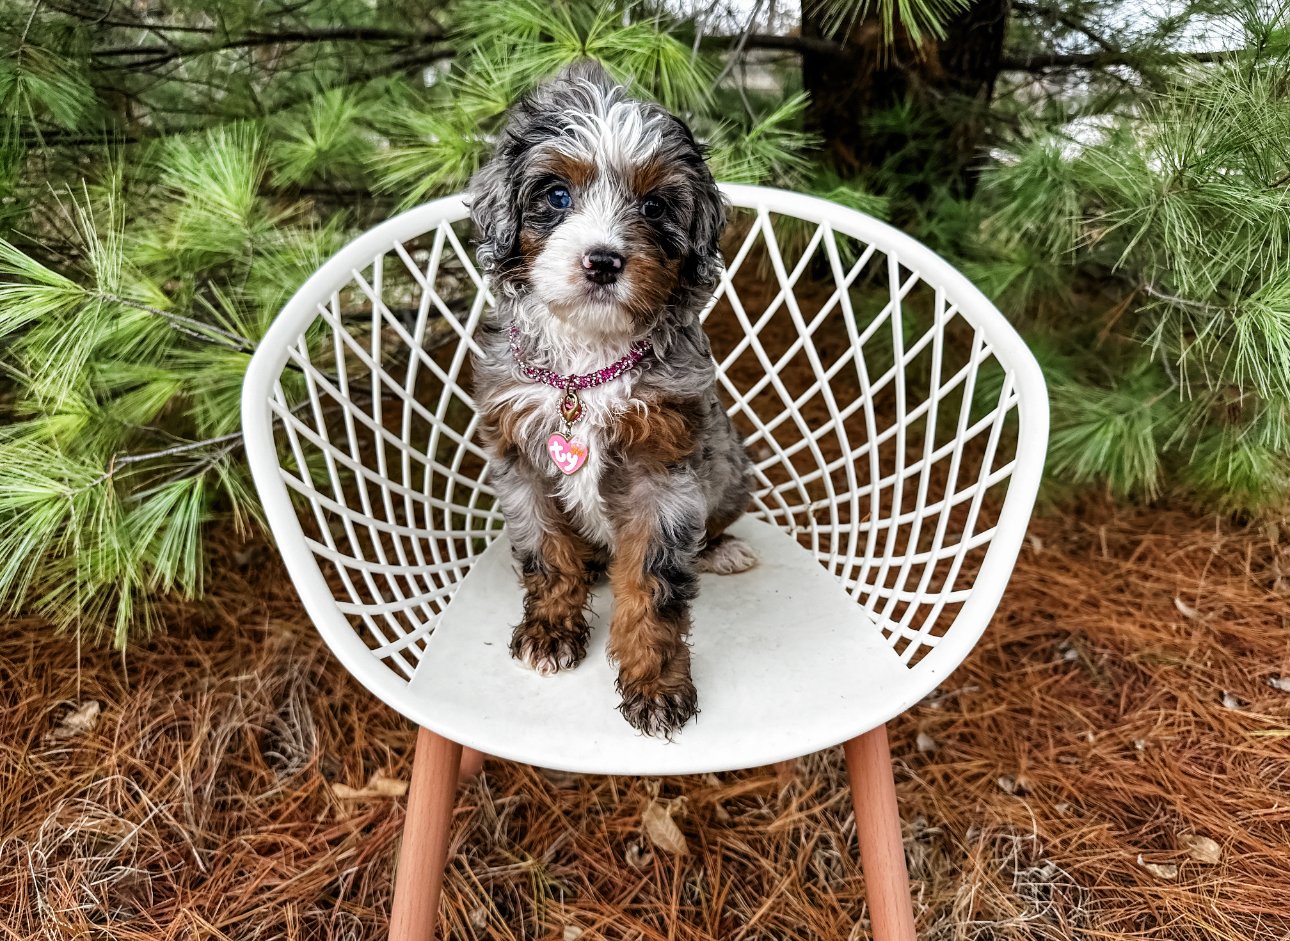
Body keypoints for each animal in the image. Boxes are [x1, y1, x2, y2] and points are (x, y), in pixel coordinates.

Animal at [469, 62, 753, 738]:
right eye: (556, 196)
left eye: (654, 205)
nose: (603, 261)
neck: (587, 363)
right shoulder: (520, 459)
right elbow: (546, 552)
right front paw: (550, 631)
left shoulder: (665, 472)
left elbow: (654, 584)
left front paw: (655, 684)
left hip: (730, 470)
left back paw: (723, 549)